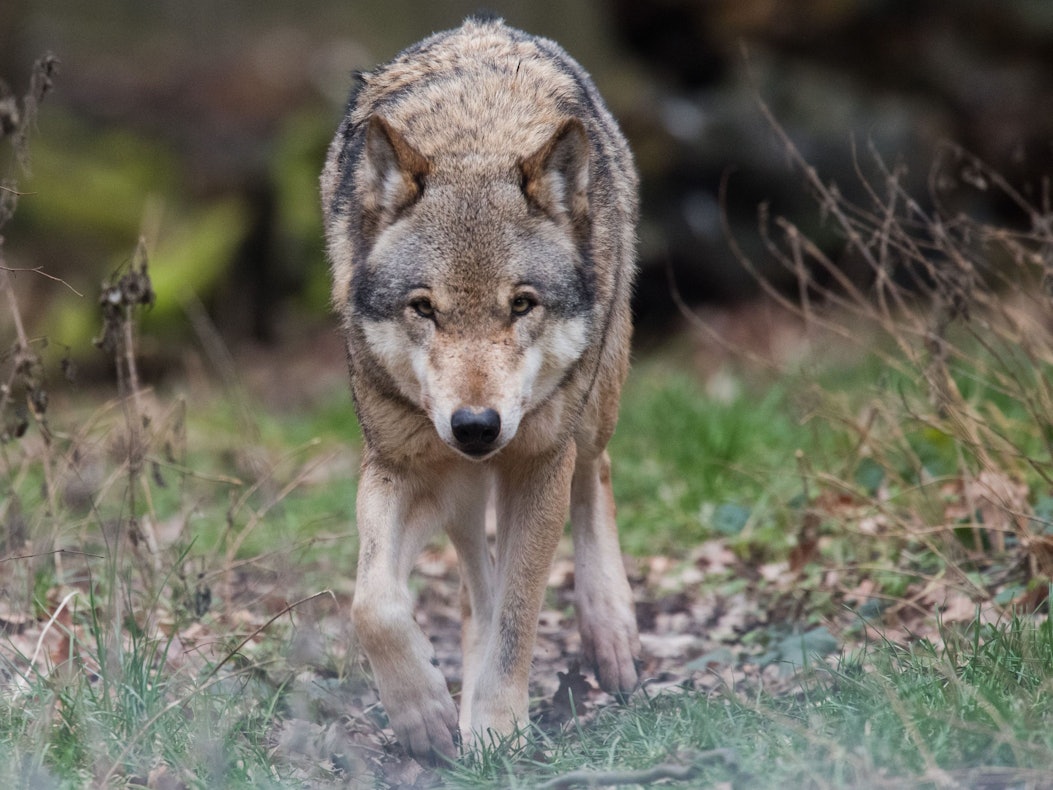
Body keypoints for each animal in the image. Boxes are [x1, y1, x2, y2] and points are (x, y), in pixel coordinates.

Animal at [320, 16, 640, 762]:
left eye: (521, 304)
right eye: (424, 308)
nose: (475, 426)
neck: (475, 139)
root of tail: (486, 26)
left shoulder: (538, 464)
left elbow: (520, 618)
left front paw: (495, 727)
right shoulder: (400, 463)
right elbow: (373, 604)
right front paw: (425, 715)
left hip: (590, 409)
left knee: (596, 475)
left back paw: (611, 635)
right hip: (458, 485)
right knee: (474, 580)